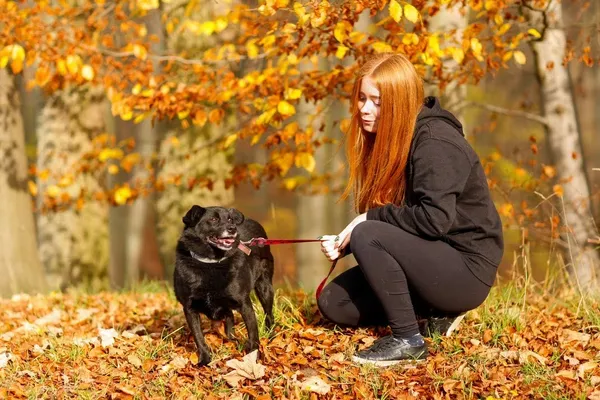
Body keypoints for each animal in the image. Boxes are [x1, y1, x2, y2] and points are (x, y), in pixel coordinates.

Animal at [172, 206, 276, 366]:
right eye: (213, 219)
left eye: (230, 219)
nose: (233, 228)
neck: (211, 263)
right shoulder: (189, 308)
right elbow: (198, 337)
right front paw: (204, 359)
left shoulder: (244, 304)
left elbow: (253, 334)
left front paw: (253, 356)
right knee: (230, 318)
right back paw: (232, 339)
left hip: (265, 288)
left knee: (269, 314)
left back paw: (270, 336)